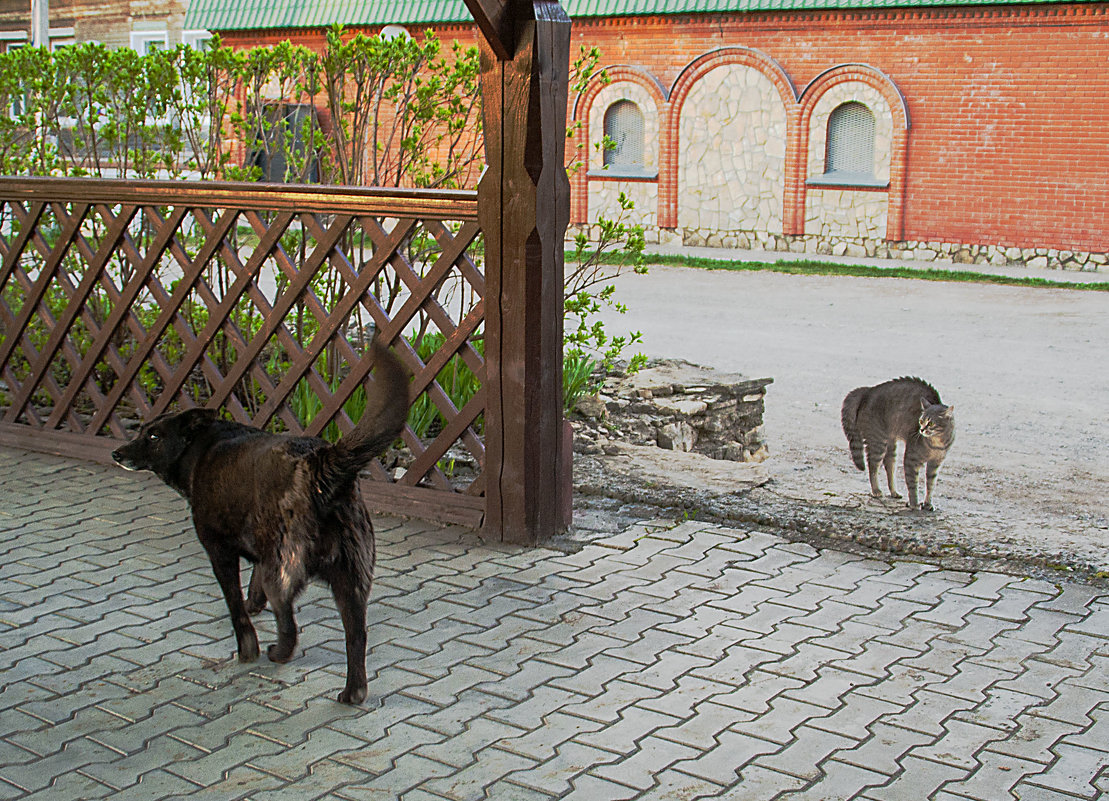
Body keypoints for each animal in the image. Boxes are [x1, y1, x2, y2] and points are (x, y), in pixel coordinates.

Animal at [112, 332, 410, 701]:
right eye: (142, 431)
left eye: (153, 436)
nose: (117, 453)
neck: (201, 448)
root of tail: (319, 464)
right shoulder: (259, 552)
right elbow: (251, 590)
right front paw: (254, 605)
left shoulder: (219, 552)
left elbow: (236, 608)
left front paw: (247, 648)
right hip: (351, 582)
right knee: (356, 638)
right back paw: (352, 693)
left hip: (283, 573)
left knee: (290, 625)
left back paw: (278, 653)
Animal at [838, 374, 953, 512]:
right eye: (921, 421)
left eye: (930, 423)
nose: (921, 429)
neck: (935, 443)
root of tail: (869, 390)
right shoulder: (911, 460)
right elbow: (912, 484)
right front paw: (914, 503)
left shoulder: (934, 464)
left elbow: (930, 485)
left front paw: (927, 503)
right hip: (878, 442)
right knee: (873, 466)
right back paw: (876, 490)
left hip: (890, 445)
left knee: (889, 466)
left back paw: (893, 491)